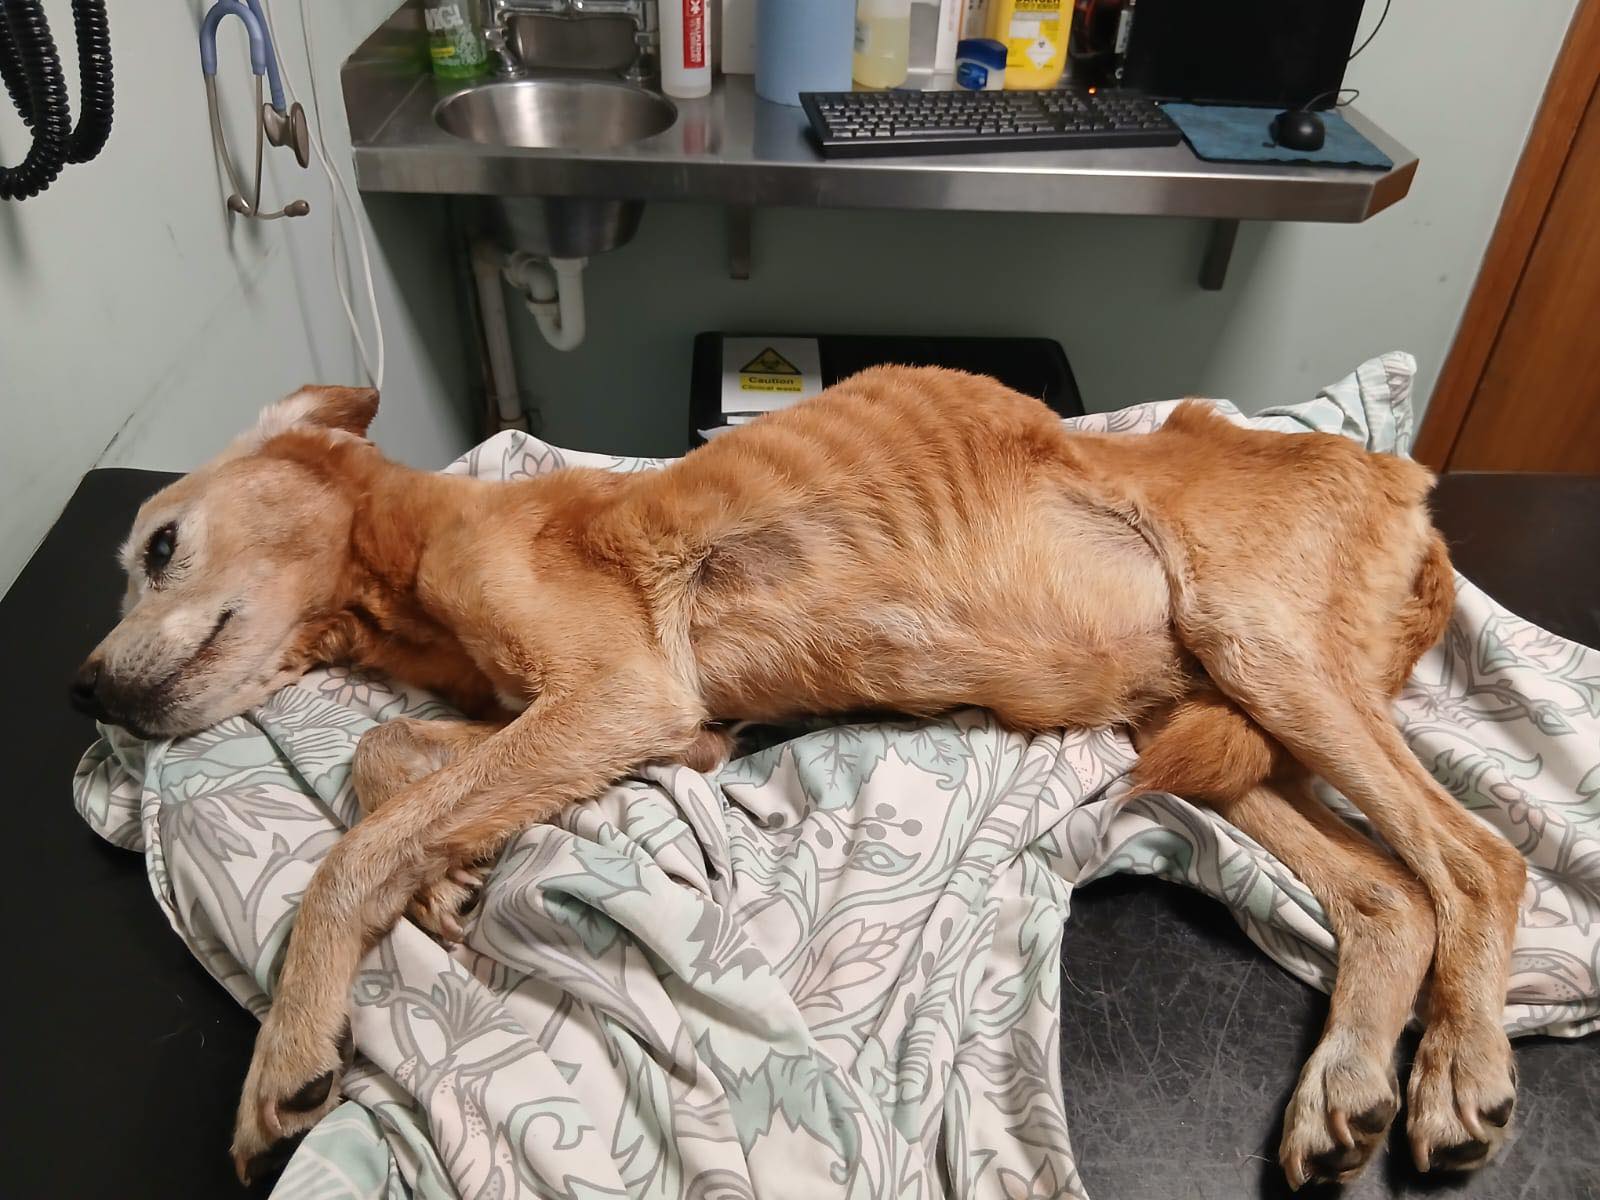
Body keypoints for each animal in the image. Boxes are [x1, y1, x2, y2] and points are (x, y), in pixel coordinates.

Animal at [73, 367, 1525, 1189]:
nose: (79, 690)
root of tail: (1402, 477)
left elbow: (350, 851)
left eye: (158, 545)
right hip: (1218, 728)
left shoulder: (619, 693)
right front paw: (449, 881)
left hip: (1264, 651)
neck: (405, 559)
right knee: (1391, 895)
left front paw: (292, 1046)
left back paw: (1458, 1070)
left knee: (1480, 862)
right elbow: (387, 763)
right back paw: (1348, 1086)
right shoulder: (657, 734)